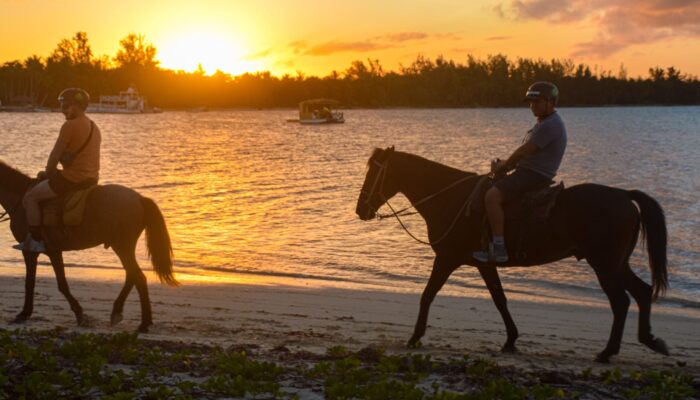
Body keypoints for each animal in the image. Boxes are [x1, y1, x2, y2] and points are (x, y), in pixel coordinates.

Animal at [1, 161, 176, 332]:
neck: (21, 199)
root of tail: (140, 199)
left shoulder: (34, 251)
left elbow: (42, 283)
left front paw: (25, 314)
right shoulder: (49, 251)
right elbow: (50, 283)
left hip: (122, 247)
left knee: (138, 277)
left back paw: (143, 323)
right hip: (123, 248)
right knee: (132, 276)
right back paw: (119, 312)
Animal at [358, 147, 668, 362]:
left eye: (374, 173)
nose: (360, 209)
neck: (451, 199)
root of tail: (623, 196)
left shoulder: (447, 259)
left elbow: (428, 294)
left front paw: (414, 336)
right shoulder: (483, 263)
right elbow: (500, 299)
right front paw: (510, 340)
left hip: (604, 264)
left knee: (621, 302)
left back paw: (608, 352)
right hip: (616, 264)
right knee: (641, 292)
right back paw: (649, 340)